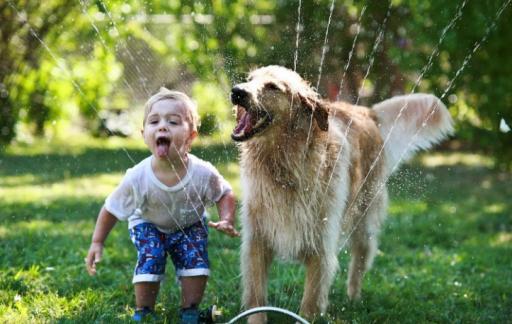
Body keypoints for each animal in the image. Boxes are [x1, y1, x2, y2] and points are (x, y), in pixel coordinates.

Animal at [231, 65, 452, 322]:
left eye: (272, 87)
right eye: (249, 79)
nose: (237, 91)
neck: (284, 165)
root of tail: (367, 111)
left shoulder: (321, 246)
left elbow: (310, 304)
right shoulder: (256, 241)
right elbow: (257, 298)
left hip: (364, 220)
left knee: (360, 262)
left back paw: (353, 298)